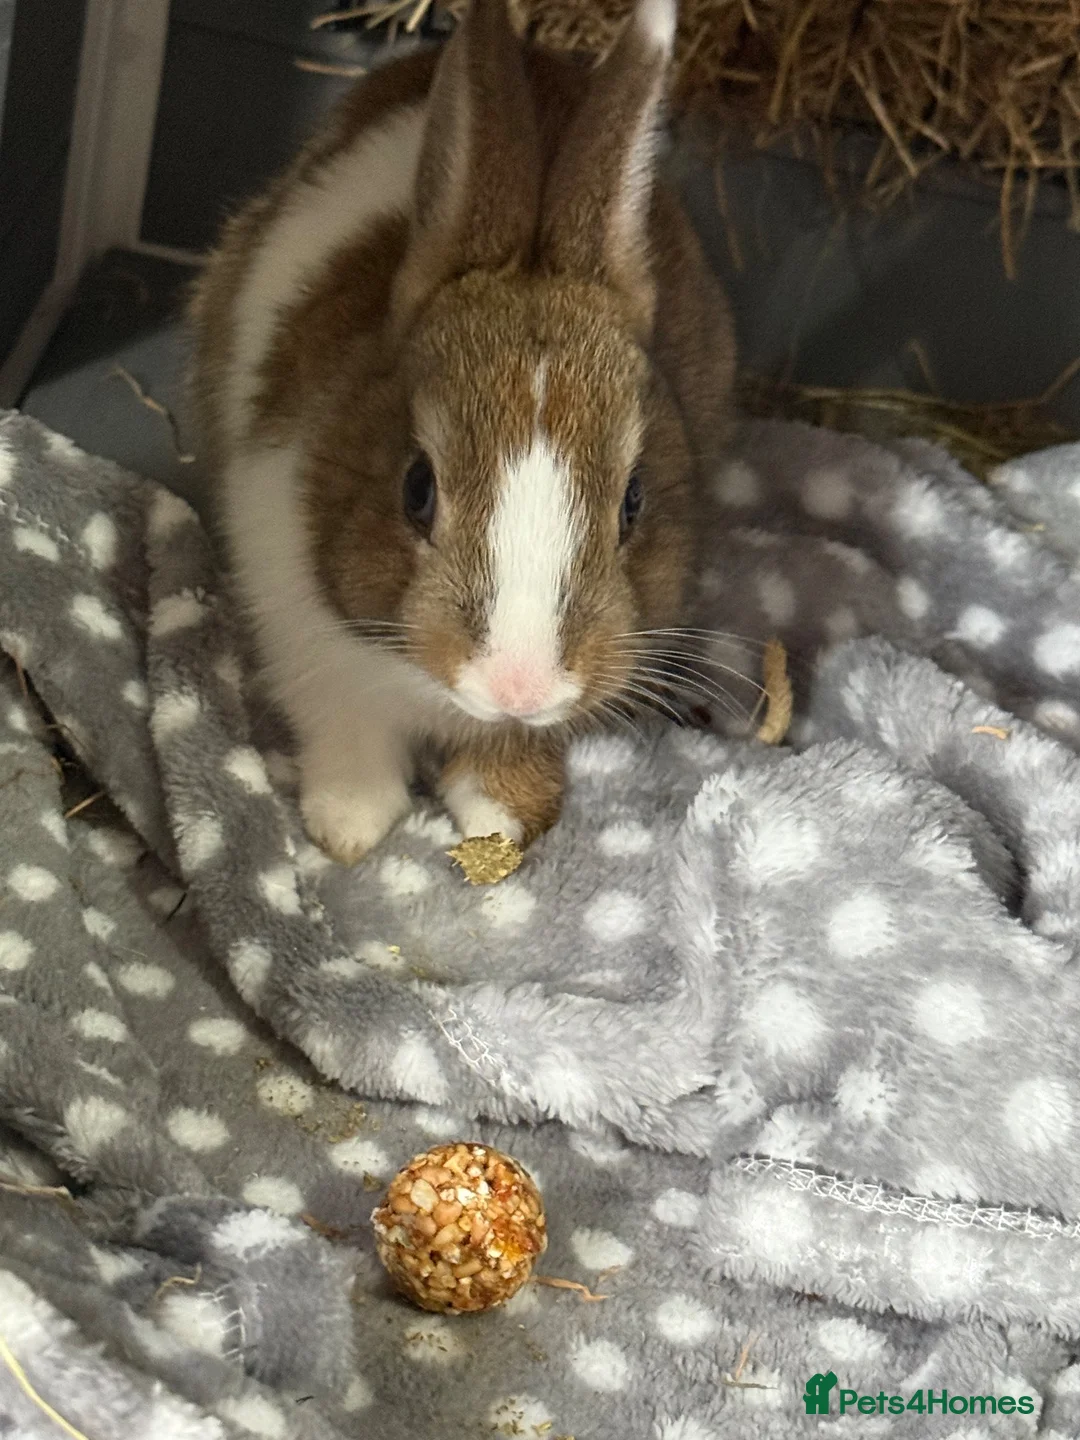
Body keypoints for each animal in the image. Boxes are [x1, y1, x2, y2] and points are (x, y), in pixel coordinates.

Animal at [189, 0, 736, 865]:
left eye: (634, 502)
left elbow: (507, 760)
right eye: (417, 488)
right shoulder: (307, 641)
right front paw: (349, 827)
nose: (519, 685)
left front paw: (500, 822)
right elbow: (350, 736)